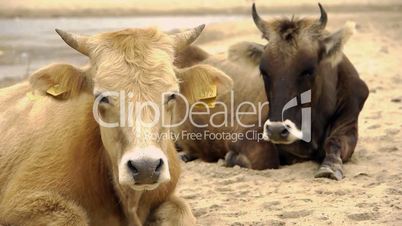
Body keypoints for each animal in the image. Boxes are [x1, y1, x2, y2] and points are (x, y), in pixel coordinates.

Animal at [226, 3, 368, 180]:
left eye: (308, 70)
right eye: (264, 71)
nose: (276, 131)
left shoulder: (348, 123)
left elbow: (334, 143)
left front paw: (329, 167)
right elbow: (264, 156)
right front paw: (231, 158)